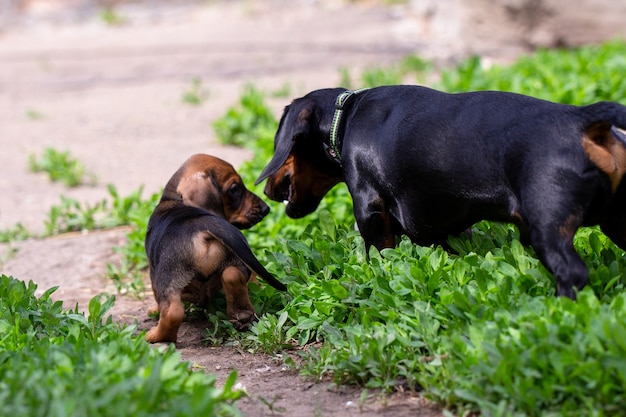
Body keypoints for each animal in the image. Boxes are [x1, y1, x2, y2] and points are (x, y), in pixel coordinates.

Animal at [145, 153, 284, 342]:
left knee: (173, 311)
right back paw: (242, 315)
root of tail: (202, 225)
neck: (172, 199)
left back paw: (156, 336)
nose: (266, 209)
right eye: (235, 189)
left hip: (168, 275)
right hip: (235, 260)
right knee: (232, 275)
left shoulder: (154, 275)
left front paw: (154, 309)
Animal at [255, 85, 626, 300]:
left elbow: (380, 255)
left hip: (548, 227)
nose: (269, 192)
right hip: (615, 222)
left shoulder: (369, 209)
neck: (345, 115)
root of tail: (584, 120)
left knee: (572, 273)